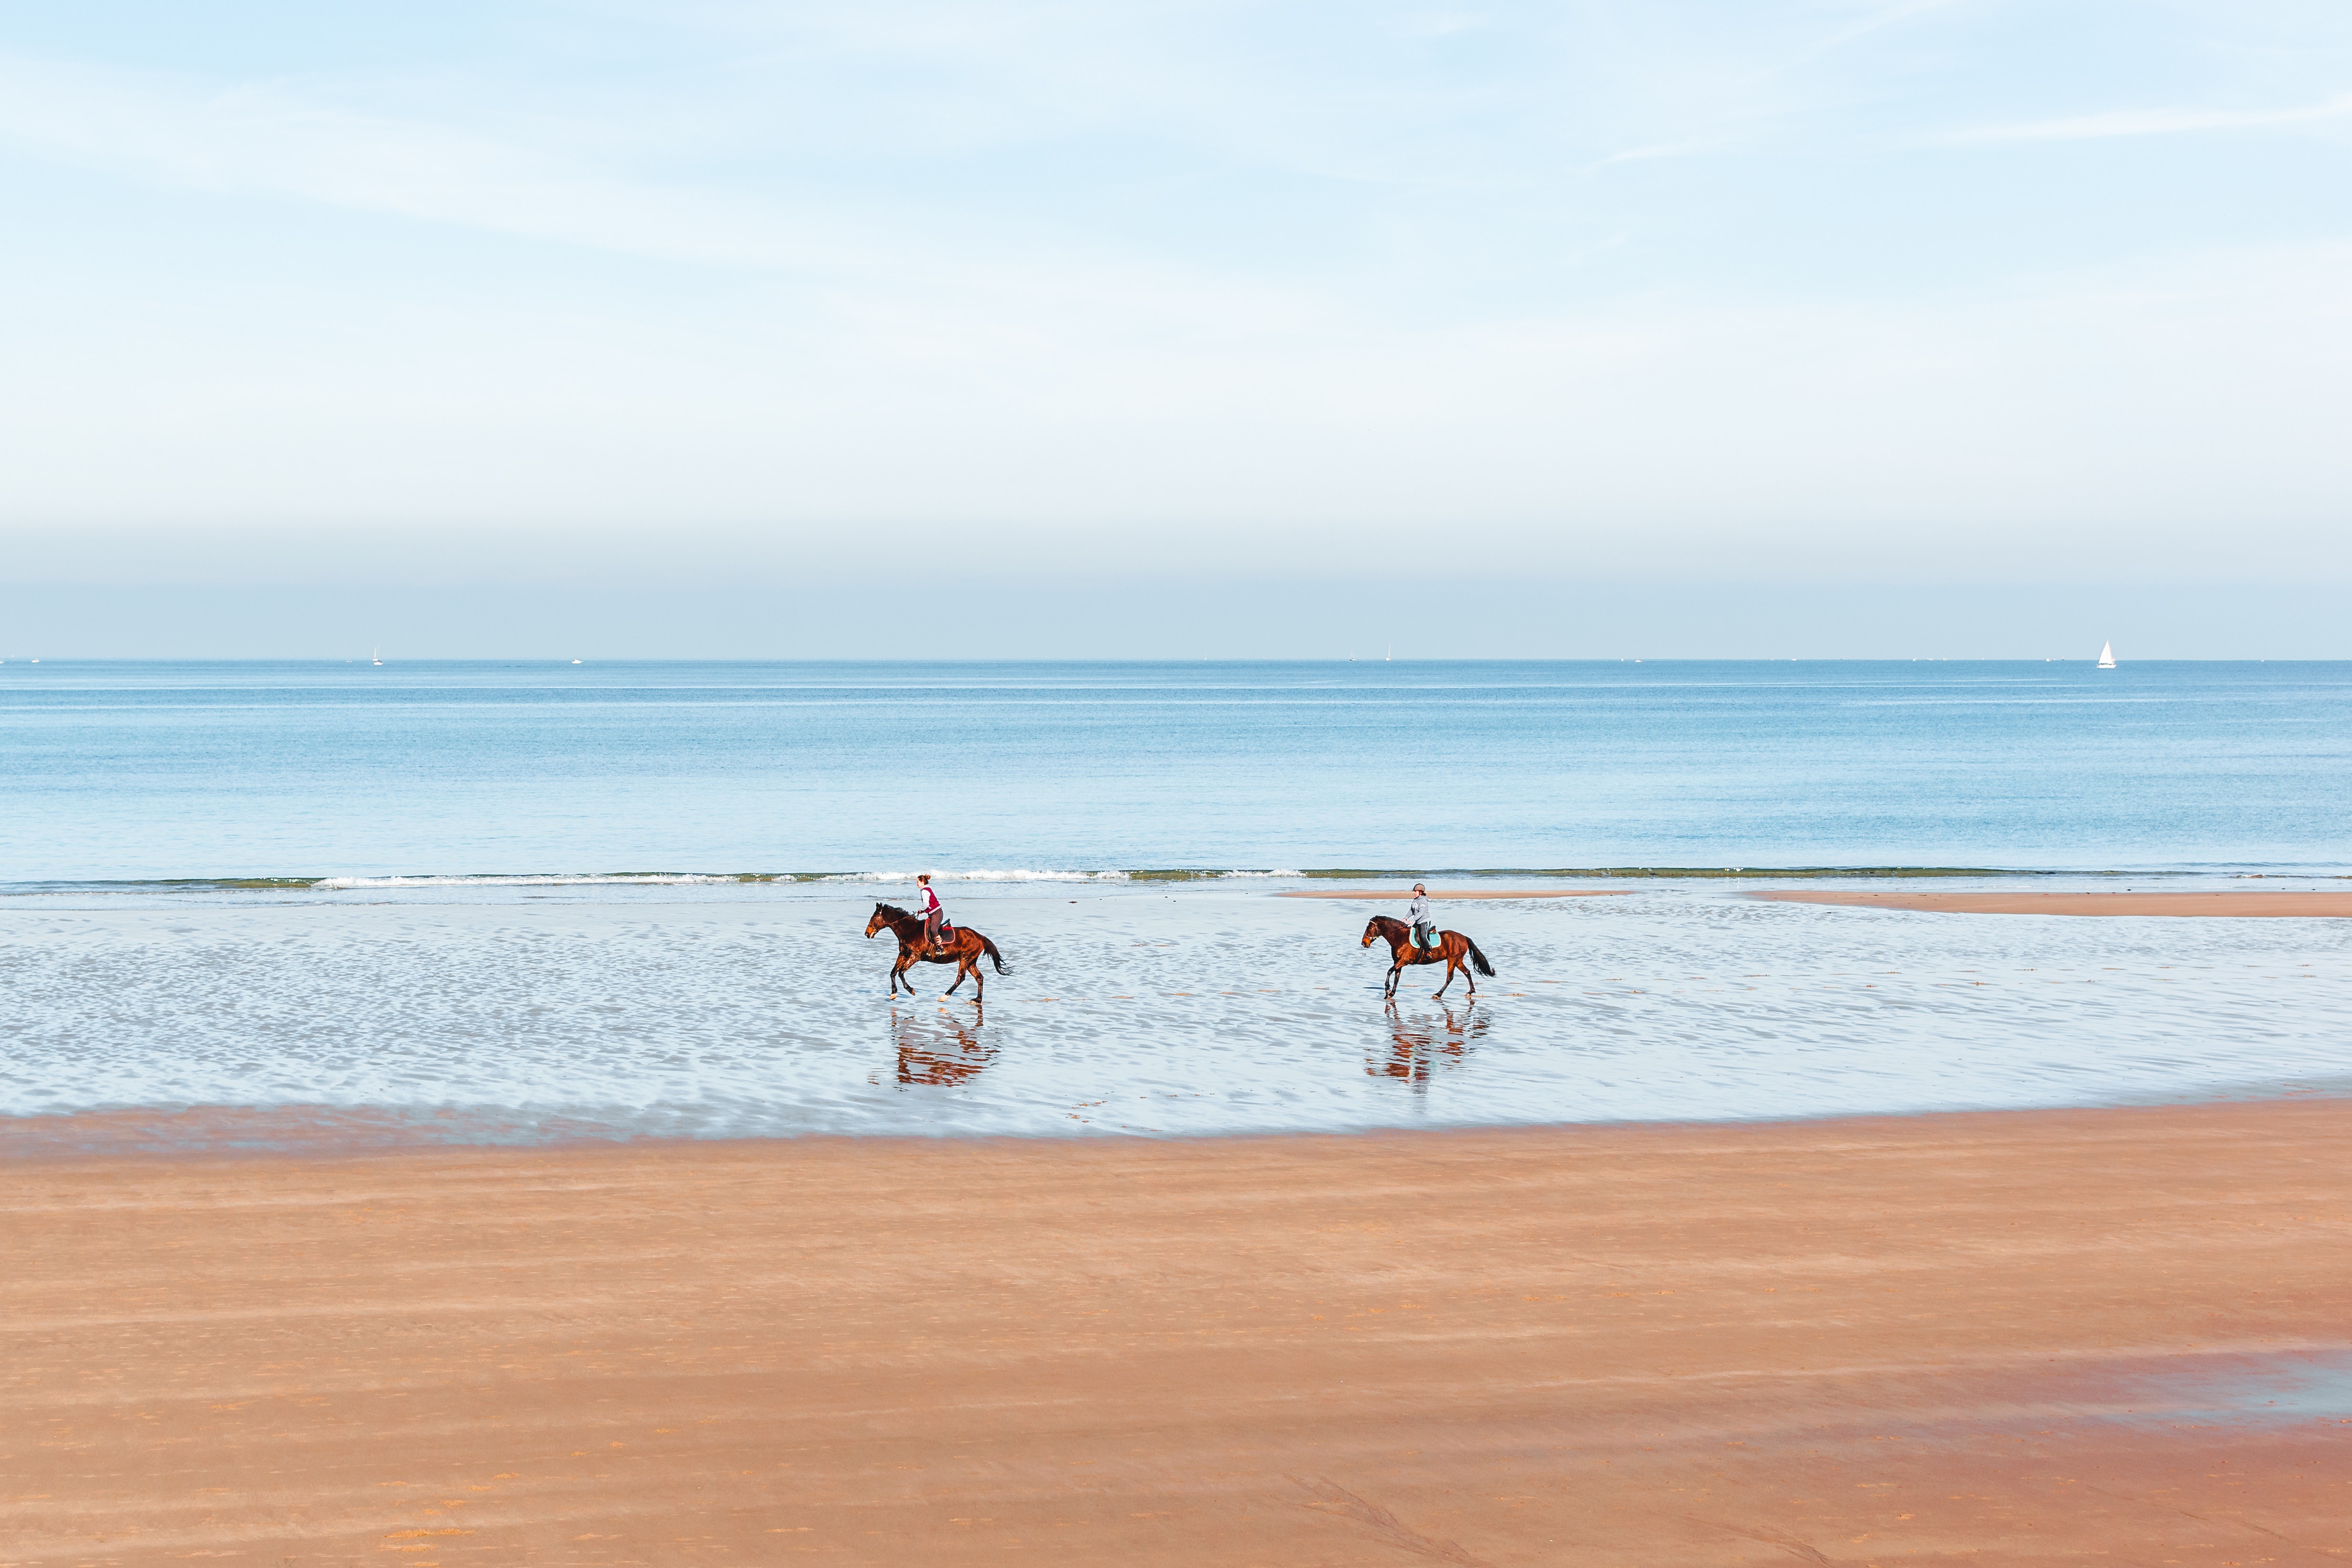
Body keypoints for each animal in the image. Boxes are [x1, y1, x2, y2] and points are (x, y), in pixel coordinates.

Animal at [870, 902, 1006, 1001]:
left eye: (875, 918)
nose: (867, 933)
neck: (909, 930)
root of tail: (980, 937)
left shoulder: (915, 957)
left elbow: (901, 973)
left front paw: (911, 990)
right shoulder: (904, 954)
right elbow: (893, 972)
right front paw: (893, 994)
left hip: (965, 958)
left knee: (961, 978)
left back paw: (945, 996)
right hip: (971, 962)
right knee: (979, 977)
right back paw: (977, 1000)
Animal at [1364, 912, 1486, 1001]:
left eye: (1370, 928)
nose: (1364, 943)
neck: (1400, 938)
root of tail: (1464, 937)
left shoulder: (1404, 961)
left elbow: (1389, 972)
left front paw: (1388, 990)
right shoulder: (1398, 962)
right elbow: (1396, 978)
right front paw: (1391, 993)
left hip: (1453, 960)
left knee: (1450, 977)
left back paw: (1438, 994)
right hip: (1458, 961)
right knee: (1467, 972)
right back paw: (1470, 992)